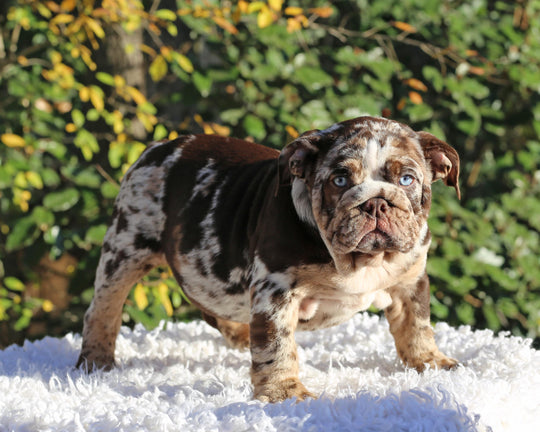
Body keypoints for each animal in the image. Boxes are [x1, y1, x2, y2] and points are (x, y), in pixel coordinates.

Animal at [78, 115, 462, 402]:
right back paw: (96, 361)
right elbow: (277, 344)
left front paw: (431, 362)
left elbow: (417, 325)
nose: (376, 202)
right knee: (104, 307)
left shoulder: (411, 280)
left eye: (407, 179)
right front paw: (284, 392)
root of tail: (159, 147)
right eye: (339, 180)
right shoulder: (277, 290)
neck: (361, 260)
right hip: (125, 247)